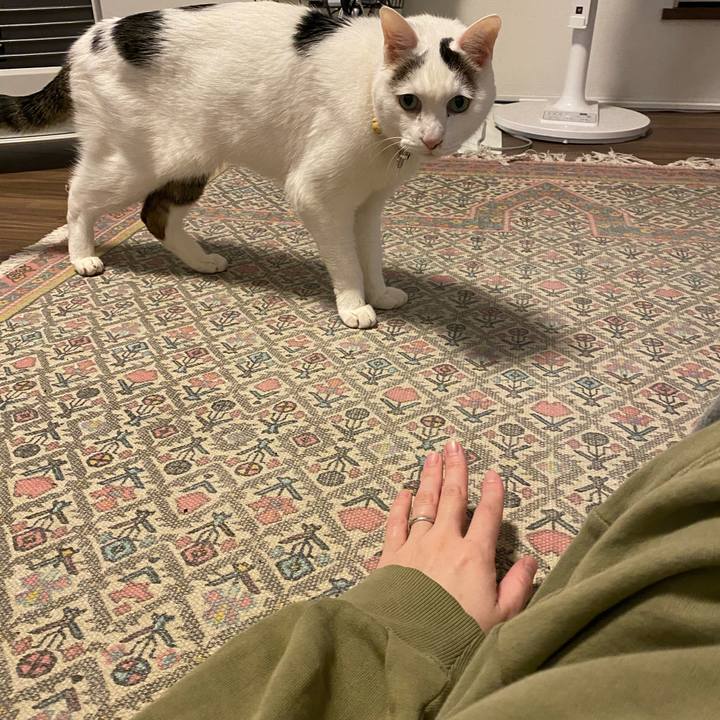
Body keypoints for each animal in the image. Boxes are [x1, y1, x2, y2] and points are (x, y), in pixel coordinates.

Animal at [0, 3, 500, 328]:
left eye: (458, 104)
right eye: (409, 101)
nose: (432, 140)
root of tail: (88, 37)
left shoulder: (367, 203)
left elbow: (370, 255)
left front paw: (378, 293)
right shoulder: (317, 195)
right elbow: (346, 261)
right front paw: (354, 305)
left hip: (190, 159)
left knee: (155, 215)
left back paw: (201, 261)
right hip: (138, 160)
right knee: (78, 194)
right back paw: (82, 255)